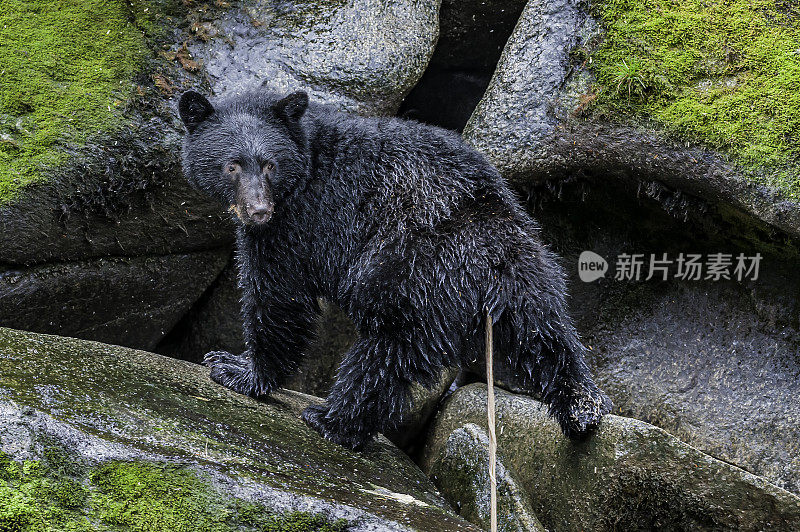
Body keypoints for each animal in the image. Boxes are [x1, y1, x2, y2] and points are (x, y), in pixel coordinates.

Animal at [178, 87, 608, 448]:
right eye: (232, 165)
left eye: (269, 165)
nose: (258, 210)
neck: (307, 164)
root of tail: (490, 250)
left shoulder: (298, 224)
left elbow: (279, 297)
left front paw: (237, 369)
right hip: (531, 270)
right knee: (546, 333)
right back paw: (582, 409)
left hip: (411, 270)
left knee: (388, 349)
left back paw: (334, 420)